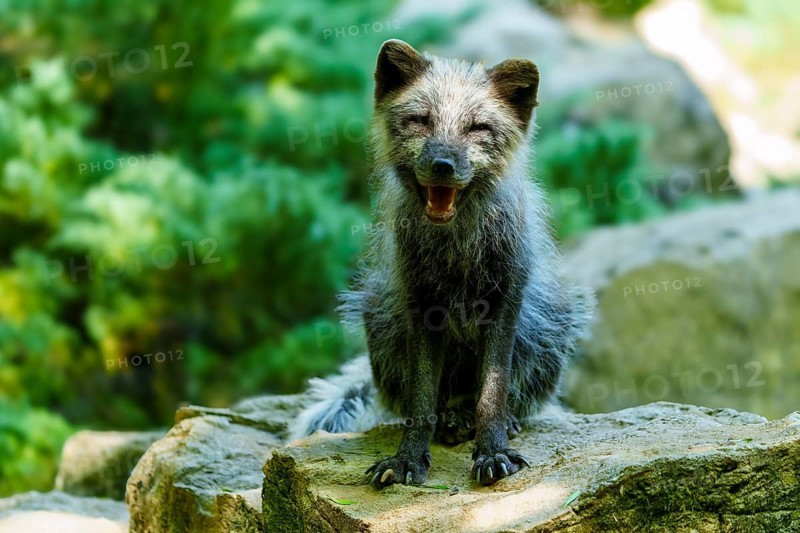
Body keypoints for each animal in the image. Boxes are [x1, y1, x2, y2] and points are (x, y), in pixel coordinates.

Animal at [289, 39, 593, 487]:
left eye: (478, 128)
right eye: (420, 121)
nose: (442, 166)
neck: (457, 252)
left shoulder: (505, 298)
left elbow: (492, 391)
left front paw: (493, 450)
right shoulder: (421, 304)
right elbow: (421, 399)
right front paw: (408, 458)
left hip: (552, 320)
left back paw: (491, 421)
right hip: (381, 318)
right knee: (431, 400)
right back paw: (450, 421)